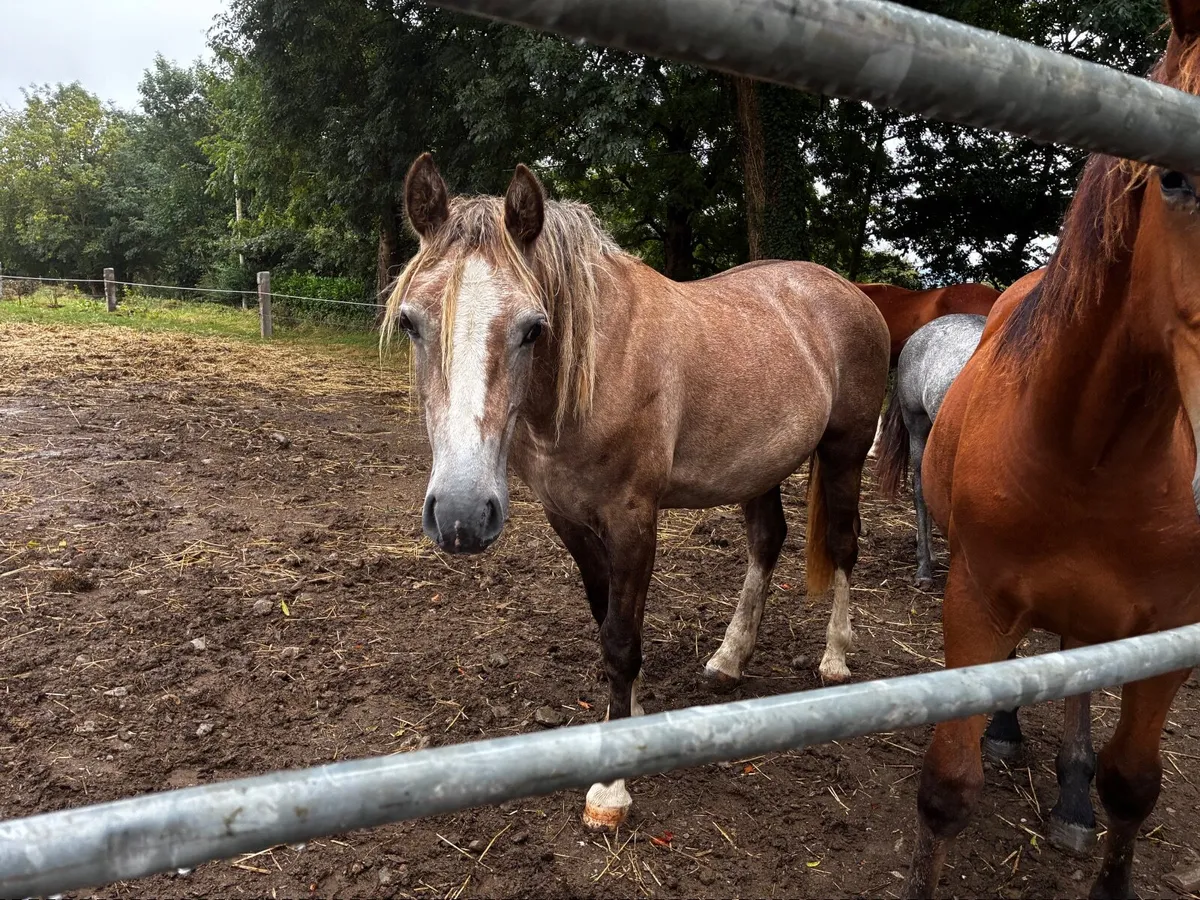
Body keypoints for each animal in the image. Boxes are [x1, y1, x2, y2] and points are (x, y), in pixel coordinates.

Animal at [384, 153, 890, 832]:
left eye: (532, 328)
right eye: (411, 322)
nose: (461, 515)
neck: (598, 367)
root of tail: (850, 293)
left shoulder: (632, 519)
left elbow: (621, 639)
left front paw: (611, 789)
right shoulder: (570, 520)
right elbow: (607, 619)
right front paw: (630, 717)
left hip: (843, 455)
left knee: (842, 544)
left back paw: (836, 658)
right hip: (756, 468)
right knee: (767, 541)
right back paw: (729, 660)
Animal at [904, 4, 1200, 896]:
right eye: (1174, 178)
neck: (1093, 451)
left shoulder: (1166, 633)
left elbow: (1132, 785)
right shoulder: (975, 601)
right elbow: (947, 789)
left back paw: (1069, 794)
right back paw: (1008, 731)